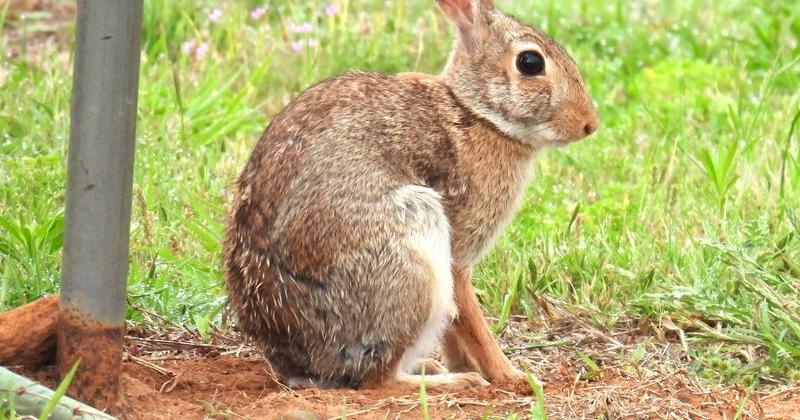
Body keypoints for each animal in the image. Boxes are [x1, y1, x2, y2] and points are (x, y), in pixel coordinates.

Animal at [224, 0, 599, 392]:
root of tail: (299, 364)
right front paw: (512, 377)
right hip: (412, 253)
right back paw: (454, 382)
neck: (475, 113)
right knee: (378, 381)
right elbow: (472, 320)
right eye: (530, 62)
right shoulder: (457, 254)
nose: (589, 123)